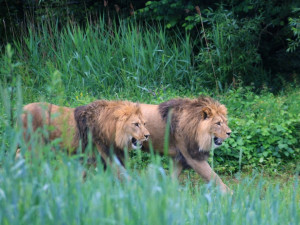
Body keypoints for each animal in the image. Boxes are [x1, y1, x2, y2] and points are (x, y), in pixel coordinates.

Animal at [20, 100, 149, 171]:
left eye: (144, 123)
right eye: (136, 124)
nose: (148, 135)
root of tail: (22, 109)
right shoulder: (103, 154)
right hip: (33, 145)